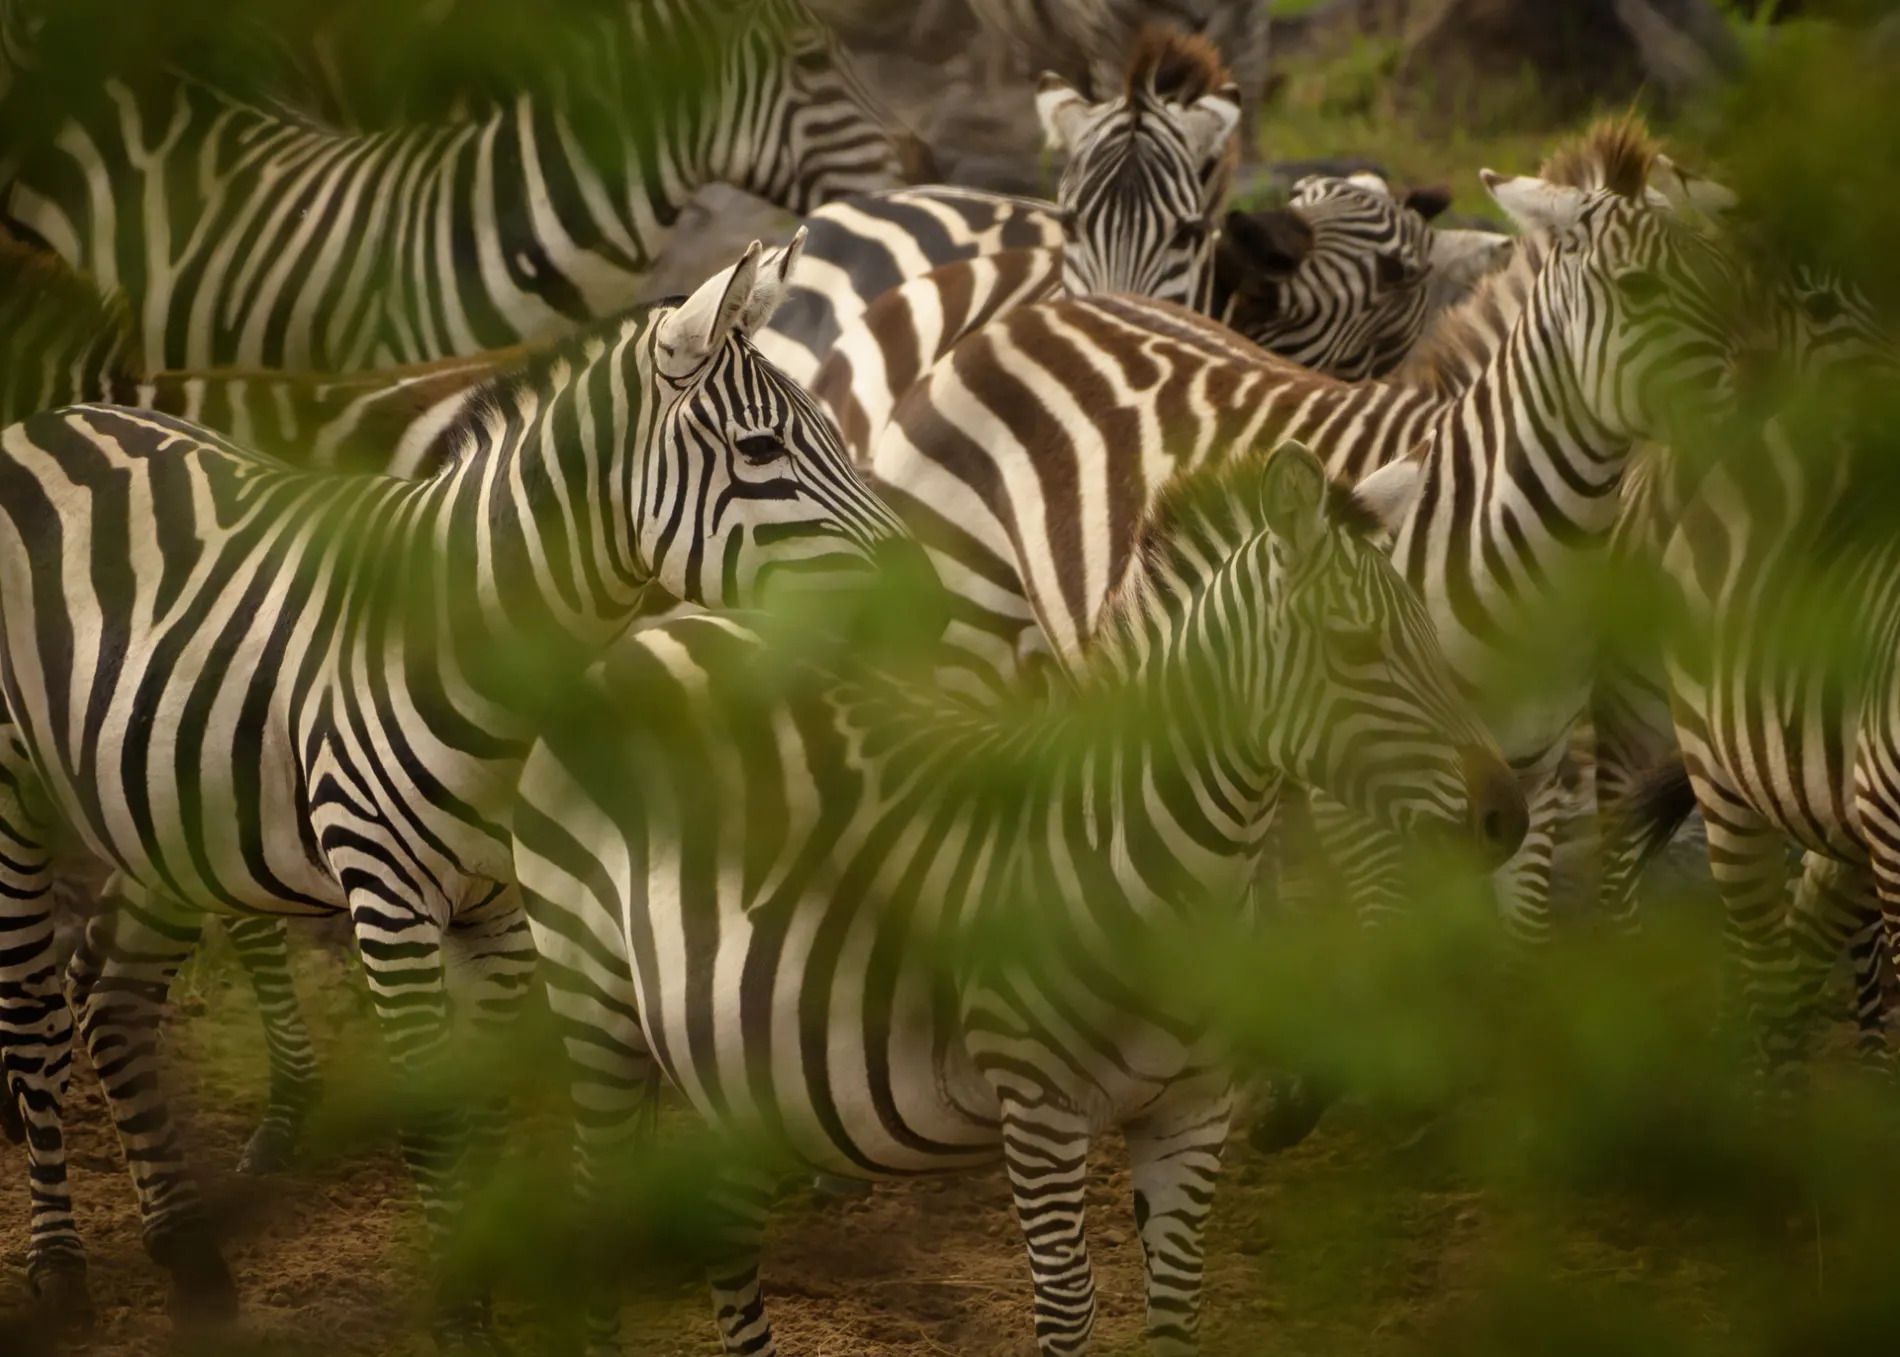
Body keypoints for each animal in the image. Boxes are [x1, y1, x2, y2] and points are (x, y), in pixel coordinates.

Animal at [0, 232, 912, 1330]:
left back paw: (186, 1251)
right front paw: (454, 1309)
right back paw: (58, 1267)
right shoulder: (388, 898)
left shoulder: (501, 907)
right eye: (762, 451)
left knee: (113, 995)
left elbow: (480, 1110)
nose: (921, 591)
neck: (485, 644)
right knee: (34, 1007)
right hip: (17, 795)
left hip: (168, 810)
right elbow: (435, 1120)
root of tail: (45, 419)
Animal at [513, 440, 1520, 1353]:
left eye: (1427, 634)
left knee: (723, 1223)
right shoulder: (1039, 1109)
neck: (1156, 870)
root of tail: (658, 627)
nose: (1505, 812)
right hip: (592, 998)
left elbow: (1177, 1309)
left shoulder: (1191, 1112)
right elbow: (1069, 1309)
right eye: (1356, 646)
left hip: (733, 1050)